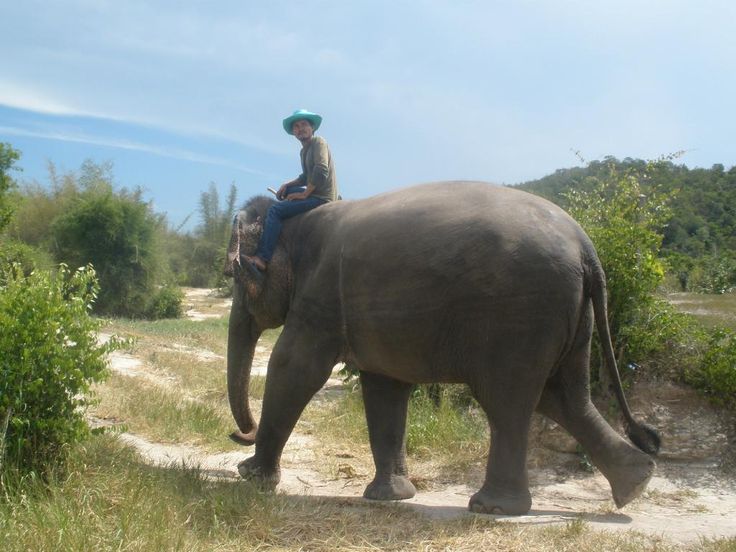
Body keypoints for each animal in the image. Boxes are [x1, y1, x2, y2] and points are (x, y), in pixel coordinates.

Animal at [224, 181, 660, 515]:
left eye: (233, 276)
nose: (239, 433)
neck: (293, 225)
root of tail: (586, 246)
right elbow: (384, 389)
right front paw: (391, 497)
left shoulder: (321, 298)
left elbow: (293, 367)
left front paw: (250, 477)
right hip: (570, 316)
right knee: (564, 398)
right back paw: (636, 483)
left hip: (520, 317)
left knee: (508, 403)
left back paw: (492, 508)